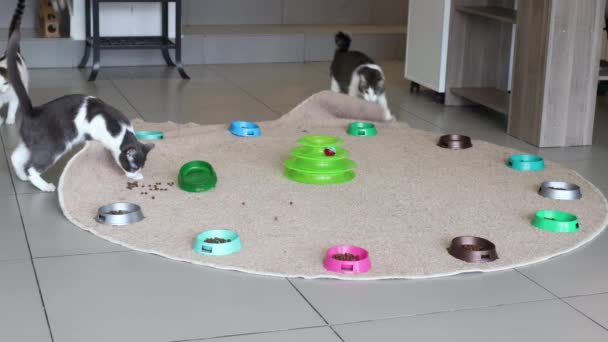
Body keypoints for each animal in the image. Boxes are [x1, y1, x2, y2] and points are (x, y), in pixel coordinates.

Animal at [6, 0, 154, 192]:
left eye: (140, 166)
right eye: (132, 166)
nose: (135, 174)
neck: (122, 131)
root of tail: (34, 111)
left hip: (30, 142)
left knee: (15, 156)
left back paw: (22, 177)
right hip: (53, 145)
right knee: (31, 166)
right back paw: (44, 185)